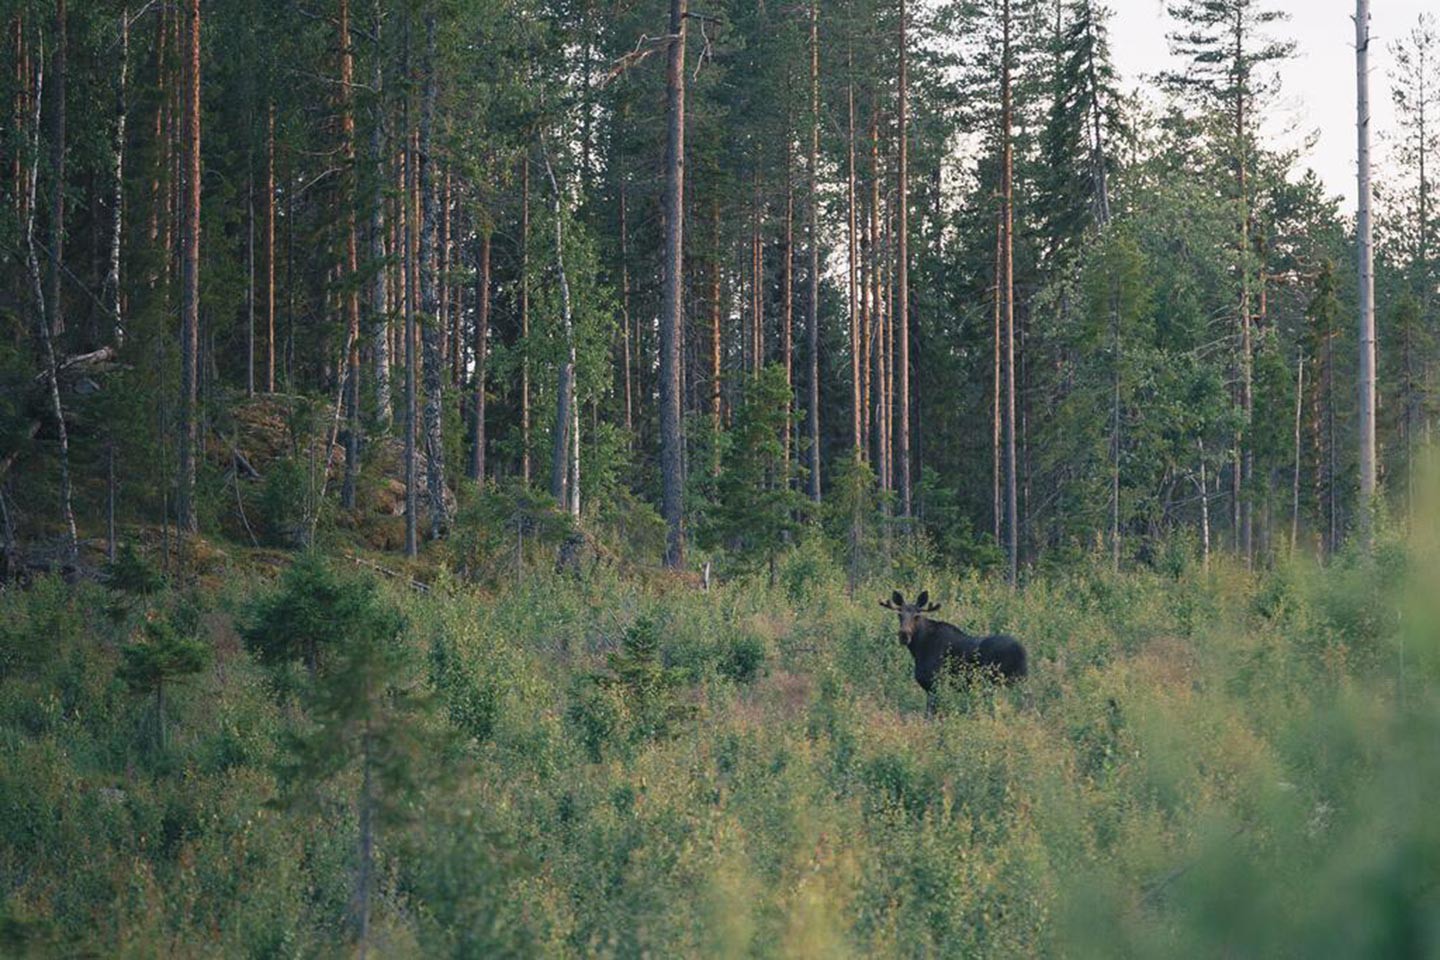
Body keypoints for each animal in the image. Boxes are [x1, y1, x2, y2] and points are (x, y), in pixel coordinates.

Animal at [875, 590, 1025, 716]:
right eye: (899, 615)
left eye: (917, 616)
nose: (904, 635)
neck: (919, 649)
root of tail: (1022, 650)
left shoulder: (935, 684)